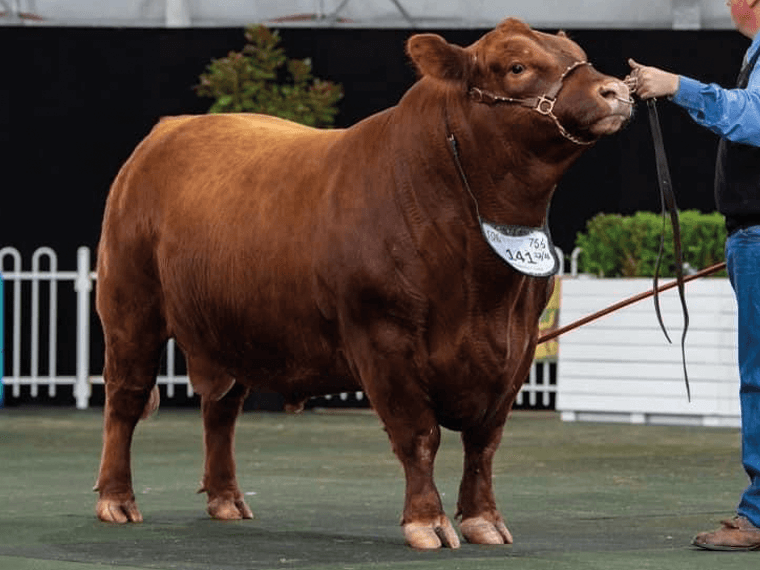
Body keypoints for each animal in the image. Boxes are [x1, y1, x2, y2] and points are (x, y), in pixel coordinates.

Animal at [93, 20, 628, 548]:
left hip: (230, 327)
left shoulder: (518, 345)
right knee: (125, 398)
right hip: (129, 309)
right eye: (516, 66)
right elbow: (419, 434)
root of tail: (170, 128)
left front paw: (484, 520)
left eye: (577, 55)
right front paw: (427, 521)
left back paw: (226, 499)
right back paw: (117, 500)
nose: (616, 90)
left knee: (221, 411)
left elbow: (484, 442)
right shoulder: (383, 338)